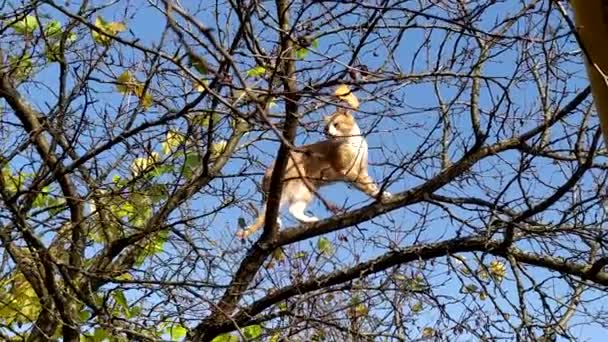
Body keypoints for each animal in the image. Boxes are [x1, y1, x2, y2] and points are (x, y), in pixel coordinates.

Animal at [235, 86, 392, 238]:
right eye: (326, 129)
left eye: (336, 124)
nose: (329, 134)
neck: (352, 141)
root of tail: (265, 177)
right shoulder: (347, 171)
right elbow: (366, 185)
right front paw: (380, 194)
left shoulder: (361, 170)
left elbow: (369, 182)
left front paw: (381, 193)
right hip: (294, 182)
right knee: (280, 209)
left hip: (305, 189)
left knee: (287, 210)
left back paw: (300, 222)